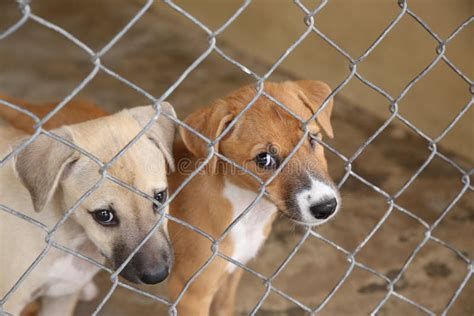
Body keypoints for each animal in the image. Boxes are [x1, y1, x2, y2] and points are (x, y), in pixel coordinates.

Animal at [0, 100, 176, 314]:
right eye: (104, 215)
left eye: (160, 197)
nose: (157, 275)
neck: (74, 238)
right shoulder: (11, 302)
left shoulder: (63, 295)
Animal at [168, 80, 338, 314]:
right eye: (264, 159)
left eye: (312, 138)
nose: (327, 207)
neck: (247, 211)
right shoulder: (191, 295)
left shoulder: (231, 273)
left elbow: (225, 308)